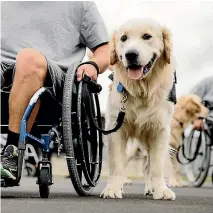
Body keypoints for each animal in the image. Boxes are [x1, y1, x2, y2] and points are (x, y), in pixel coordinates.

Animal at [101, 17, 176, 200]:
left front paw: (161, 190)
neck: (142, 90)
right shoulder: (116, 128)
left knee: (147, 167)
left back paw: (150, 188)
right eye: (123, 38)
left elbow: (156, 167)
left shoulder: (160, 130)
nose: (131, 54)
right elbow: (116, 163)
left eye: (147, 36)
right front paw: (113, 188)